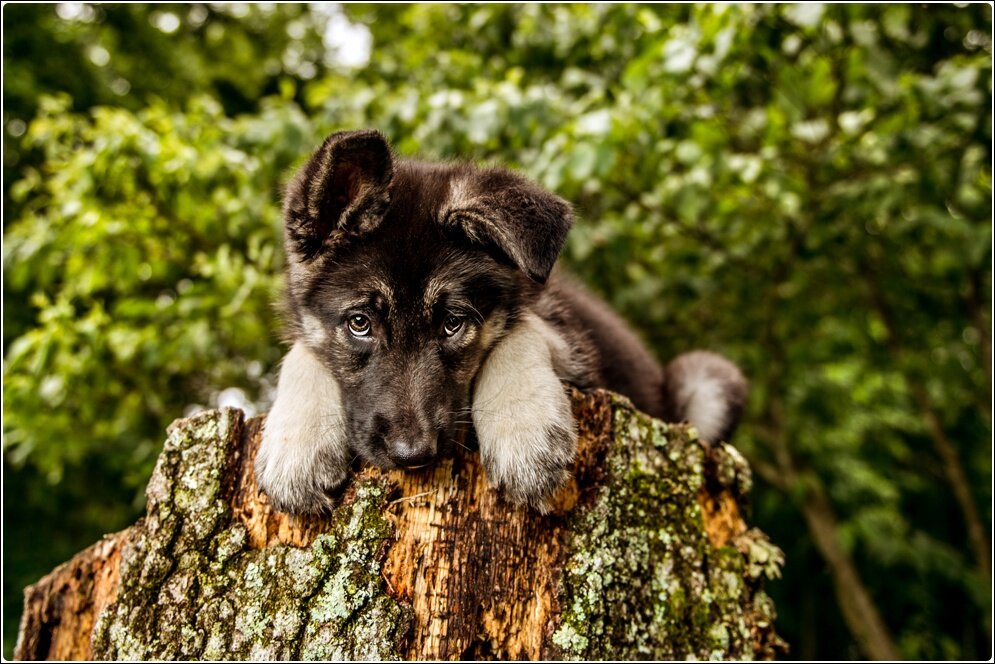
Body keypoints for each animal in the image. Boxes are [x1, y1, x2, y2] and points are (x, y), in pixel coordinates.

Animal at [256, 130, 748, 512]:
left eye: (453, 324)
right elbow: (300, 352)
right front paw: (297, 446)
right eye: (359, 323)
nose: (413, 455)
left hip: (706, 379)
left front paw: (525, 429)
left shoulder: (566, 336)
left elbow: (522, 328)